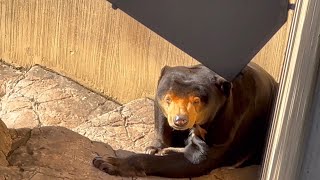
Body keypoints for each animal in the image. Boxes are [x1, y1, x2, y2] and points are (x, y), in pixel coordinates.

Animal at [92, 62, 278, 178]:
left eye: (196, 100)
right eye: (168, 98)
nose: (180, 120)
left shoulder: (227, 125)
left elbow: (197, 159)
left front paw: (107, 162)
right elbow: (161, 122)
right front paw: (155, 147)